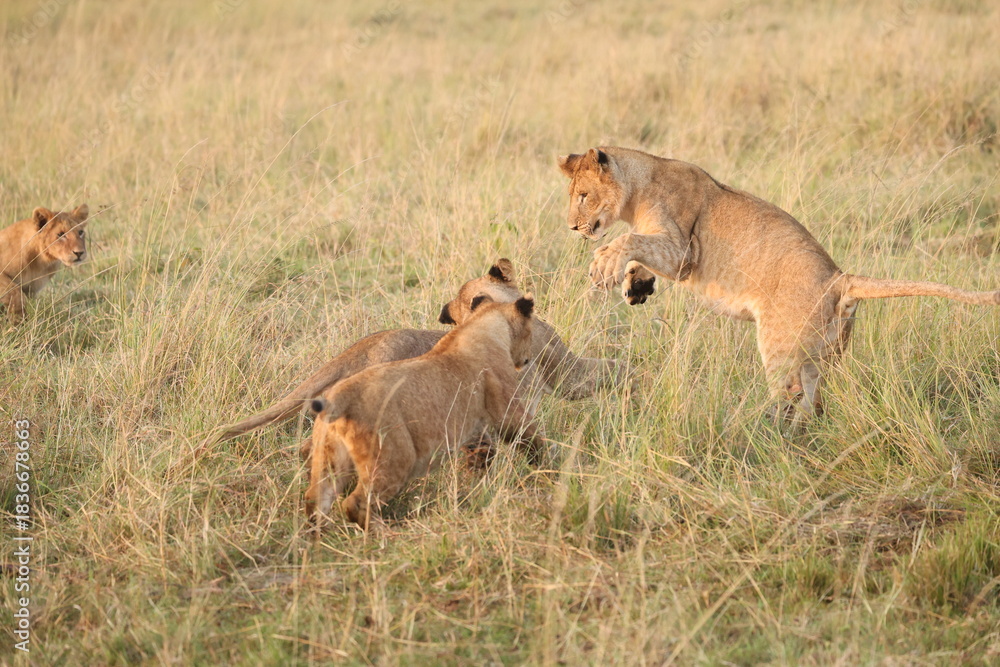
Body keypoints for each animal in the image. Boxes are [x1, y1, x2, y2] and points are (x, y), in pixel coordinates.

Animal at [305, 295, 541, 531]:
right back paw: (383, 532)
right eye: (531, 331)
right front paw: (544, 468)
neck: (481, 324)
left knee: (315, 497)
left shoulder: (474, 426)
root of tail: (340, 394)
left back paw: (316, 534)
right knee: (355, 502)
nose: (528, 359)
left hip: (329, 457)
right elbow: (529, 436)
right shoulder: (507, 409)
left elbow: (484, 453)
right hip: (394, 458)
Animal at [558, 147, 999, 421]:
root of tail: (840, 279)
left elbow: (630, 241)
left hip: (780, 347)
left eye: (583, 195)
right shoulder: (667, 247)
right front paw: (636, 285)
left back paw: (761, 430)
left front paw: (605, 267)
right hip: (819, 358)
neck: (639, 186)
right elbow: (638, 247)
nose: (572, 228)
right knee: (812, 405)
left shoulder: (682, 252)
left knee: (790, 397)